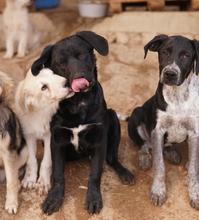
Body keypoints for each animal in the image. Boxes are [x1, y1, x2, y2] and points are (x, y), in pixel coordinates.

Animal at [31, 31, 134, 215]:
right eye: (61, 63)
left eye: (82, 54)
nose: (80, 77)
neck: (79, 103)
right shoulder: (56, 140)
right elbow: (58, 173)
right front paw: (54, 198)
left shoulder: (100, 140)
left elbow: (95, 174)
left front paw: (93, 198)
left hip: (113, 117)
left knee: (111, 157)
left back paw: (124, 173)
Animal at [128, 34, 199, 210]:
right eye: (165, 52)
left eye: (186, 56)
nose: (170, 74)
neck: (177, 96)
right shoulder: (157, 131)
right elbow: (159, 166)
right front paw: (158, 191)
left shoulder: (195, 133)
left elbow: (194, 169)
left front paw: (195, 194)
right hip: (136, 113)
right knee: (144, 144)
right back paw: (145, 158)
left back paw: (173, 154)